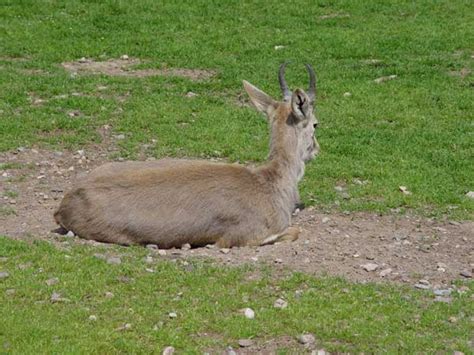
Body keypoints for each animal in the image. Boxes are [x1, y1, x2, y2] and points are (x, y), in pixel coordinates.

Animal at [54, 63, 322, 248]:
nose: (317, 150)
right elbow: (295, 232)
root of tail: (65, 203)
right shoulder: (245, 237)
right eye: (316, 124)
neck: (269, 182)